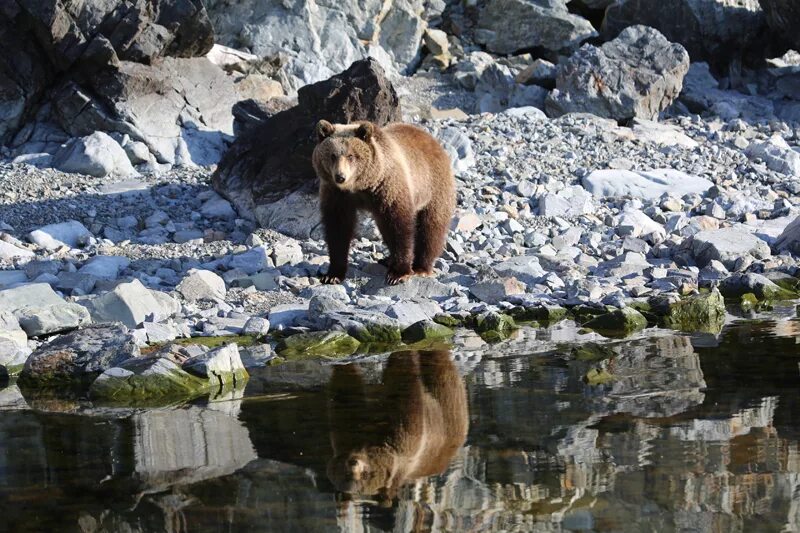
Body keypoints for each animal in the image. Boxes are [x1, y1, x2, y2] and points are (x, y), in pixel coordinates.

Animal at [310, 119, 454, 284]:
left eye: (351, 155)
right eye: (332, 155)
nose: (340, 177)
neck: (361, 186)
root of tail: (432, 140)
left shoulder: (388, 188)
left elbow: (399, 226)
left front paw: (398, 273)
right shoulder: (338, 195)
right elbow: (338, 228)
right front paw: (332, 275)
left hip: (433, 188)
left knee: (431, 227)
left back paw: (421, 267)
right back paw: (388, 259)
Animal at [324, 350, 468, 502]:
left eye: (365, 474)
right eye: (344, 474)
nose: (353, 462)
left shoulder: (407, 437)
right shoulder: (349, 429)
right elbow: (346, 391)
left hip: (446, 407)